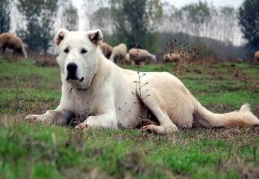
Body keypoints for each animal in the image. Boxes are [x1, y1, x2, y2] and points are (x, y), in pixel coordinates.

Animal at [25, 28, 259, 134]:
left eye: (83, 51)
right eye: (66, 51)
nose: (71, 67)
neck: (85, 86)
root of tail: (190, 95)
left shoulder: (109, 117)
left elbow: (91, 119)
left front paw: (85, 125)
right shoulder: (65, 110)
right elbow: (50, 114)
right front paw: (36, 118)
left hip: (145, 88)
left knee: (171, 126)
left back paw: (152, 129)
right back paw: (146, 123)